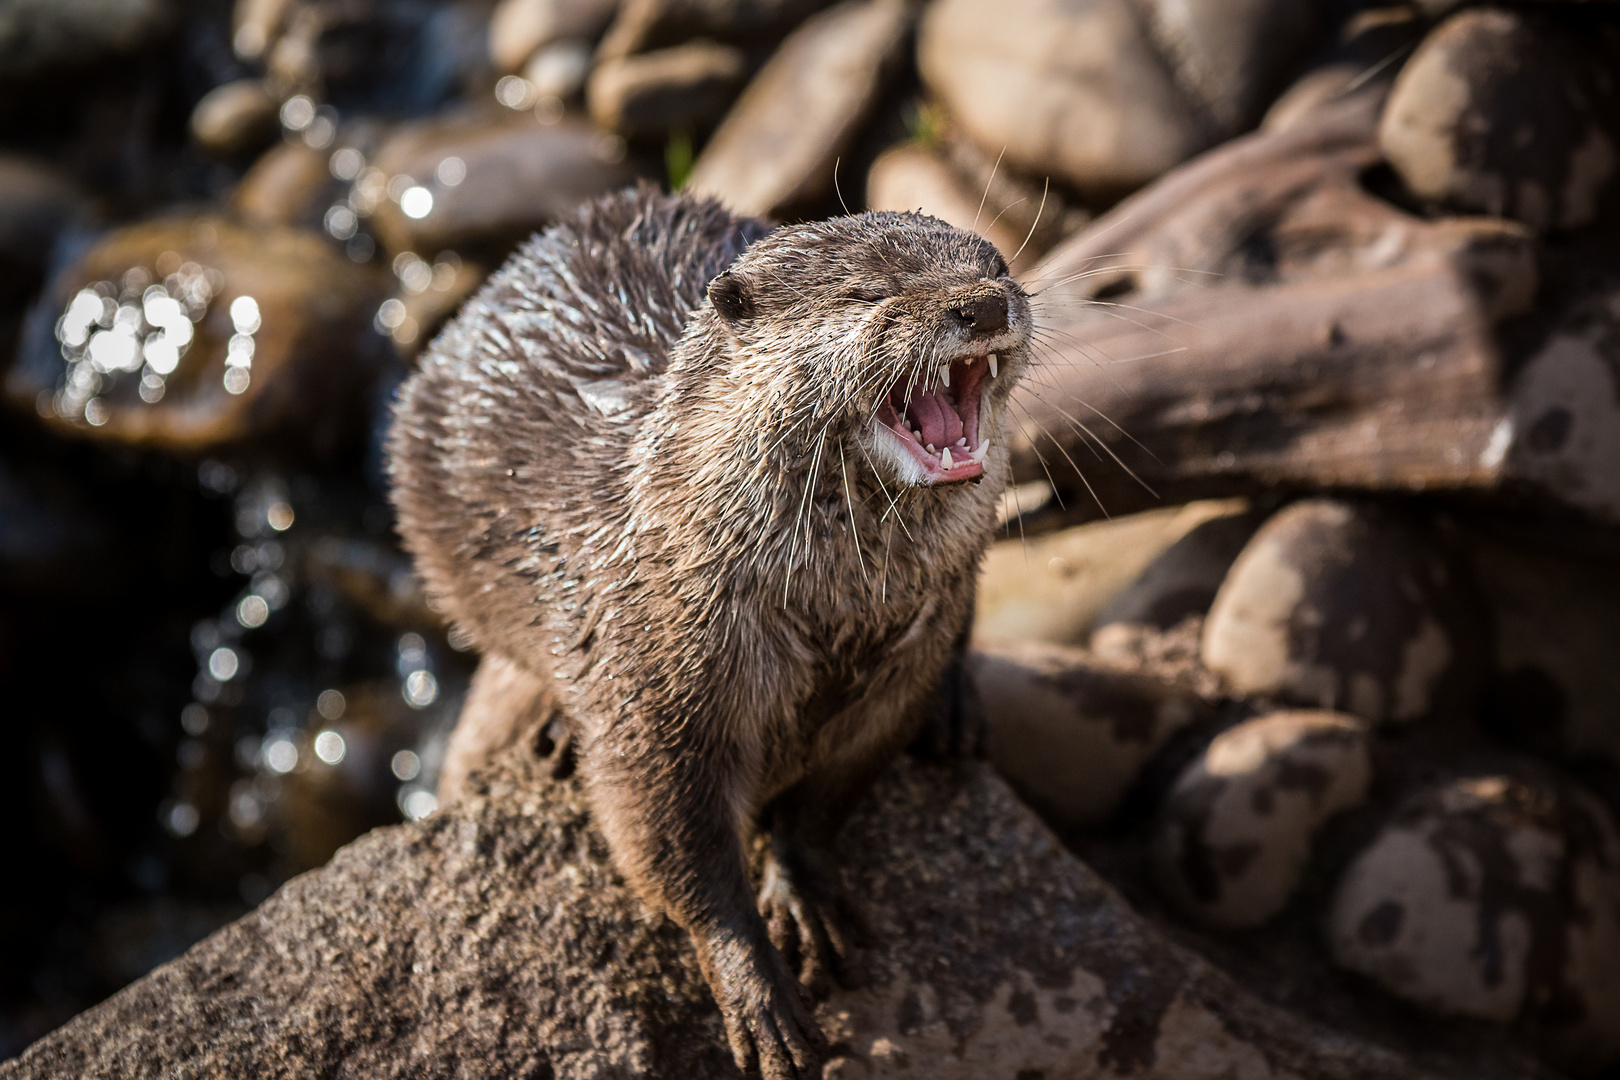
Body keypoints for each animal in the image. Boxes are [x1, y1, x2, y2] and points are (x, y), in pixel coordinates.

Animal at [385, 190, 1030, 1075]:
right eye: (868, 294)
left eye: (996, 265)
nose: (983, 304)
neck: (832, 607)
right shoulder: (654, 682)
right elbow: (669, 840)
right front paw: (755, 991)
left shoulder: (902, 667)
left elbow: (833, 791)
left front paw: (802, 889)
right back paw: (556, 728)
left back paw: (956, 709)